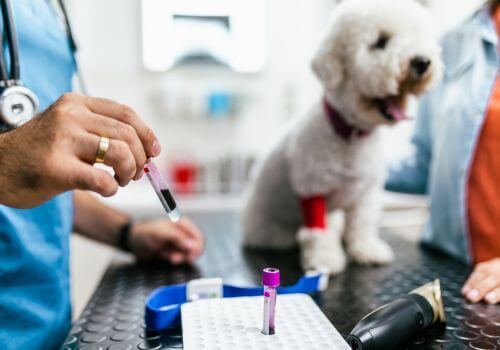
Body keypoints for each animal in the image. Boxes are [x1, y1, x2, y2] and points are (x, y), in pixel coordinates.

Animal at [242, 0, 442, 274]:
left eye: (418, 35)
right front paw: (325, 259)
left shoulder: (366, 193)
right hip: (267, 228)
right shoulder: (313, 190)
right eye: (380, 42)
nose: (422, 61)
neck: (352, 135)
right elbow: (319, 232)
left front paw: (366, 249)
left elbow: (362, 224)